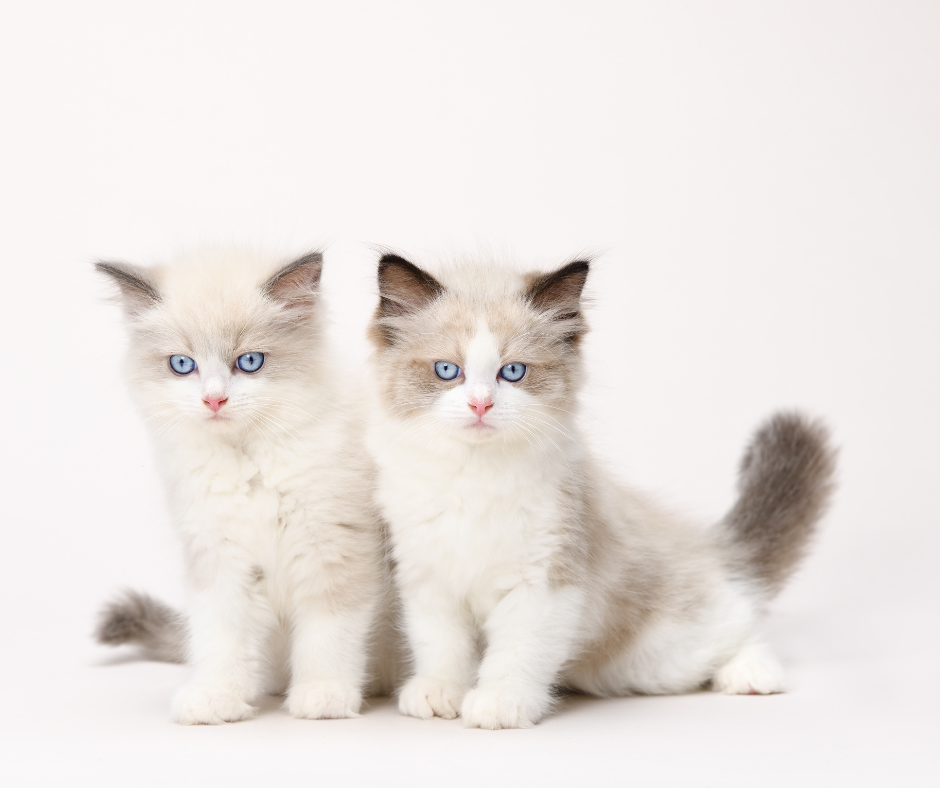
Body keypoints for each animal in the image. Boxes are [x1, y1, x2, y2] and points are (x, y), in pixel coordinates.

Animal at [96, 249, 400, 724]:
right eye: (182, 365)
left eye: (250, 362)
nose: (214, 400)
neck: (249, 462)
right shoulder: (220, 555)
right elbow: (221, 636)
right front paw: (216, 698)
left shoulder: (332, 547)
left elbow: (328, 633)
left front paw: (323, 695)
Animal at [364, 255, 832, 728]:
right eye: (447, 371)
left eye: (512, 372)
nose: (480, 404)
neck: (474, 477)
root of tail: (707, 549)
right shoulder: (428, 580)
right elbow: (440, 646)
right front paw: (439, 692)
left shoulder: (543, 581)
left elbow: (516, 652)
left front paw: (499, 702)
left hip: (660, 655)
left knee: (738, 620)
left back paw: (752, 674)